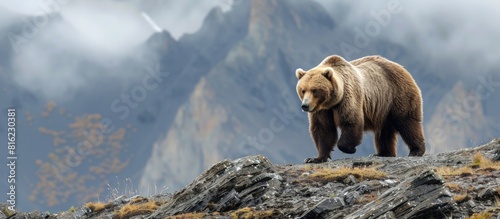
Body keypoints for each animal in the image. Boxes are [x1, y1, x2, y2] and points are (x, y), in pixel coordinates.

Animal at [296, 55, 426, 163]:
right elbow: (323, 129)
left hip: (398, 94)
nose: (305, 105)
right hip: (384, 108)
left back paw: (416, 150)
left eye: (315, 90)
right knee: (384, 131)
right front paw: (315, 158)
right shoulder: (322, 110)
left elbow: (351, 121)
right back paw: (383, 153)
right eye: (303, 90)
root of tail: (402, 68)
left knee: (408, 123)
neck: (332, 102)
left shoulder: (348, 97)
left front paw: (349, 148)